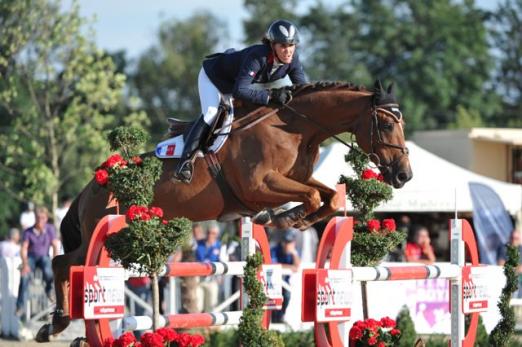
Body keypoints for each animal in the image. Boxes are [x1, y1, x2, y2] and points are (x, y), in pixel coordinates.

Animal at [35, 79, 410, 342]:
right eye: (387, 125)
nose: (404, 175)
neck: (294, 128)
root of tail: (94, 183)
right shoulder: (260, 186)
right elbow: (314, 198)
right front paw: (284, 217)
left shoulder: (296, 179)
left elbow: (327, 198)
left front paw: (290, 218)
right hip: (102, 229)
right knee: (63, 262)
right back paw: (55, 323)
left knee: (66, 264)